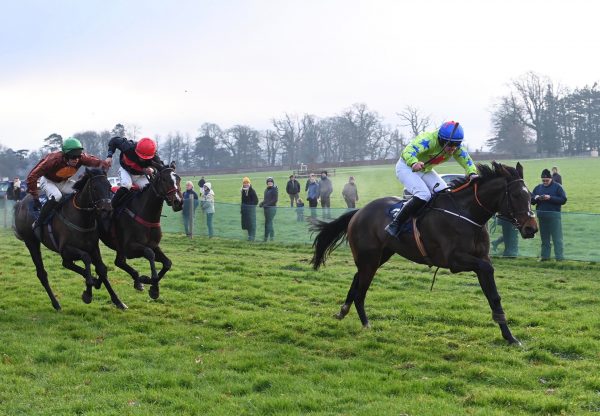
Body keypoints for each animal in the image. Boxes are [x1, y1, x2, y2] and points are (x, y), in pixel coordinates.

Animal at [14, 168, 127, 308]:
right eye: (95, 188)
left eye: (109, 186)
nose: (107, 209)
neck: (82, 218)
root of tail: (20, 203)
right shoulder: (66, 249)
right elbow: (86, 258)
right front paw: (88, 292)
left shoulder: (93, 247)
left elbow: (101, 269)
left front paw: (118, 301)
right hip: (31, 242)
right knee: (42, 273)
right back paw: (56, 303)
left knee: (67, 264)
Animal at [99, 164, 183, 300]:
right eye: (164, 179)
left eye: (179, 179)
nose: (178, 202)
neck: (145, 214)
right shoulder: (129, 248)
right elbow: (149, 254)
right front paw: (150, 282)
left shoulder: (153, 245)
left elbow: (167, 263)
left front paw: (150, 285)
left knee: (119, 262)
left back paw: (137, 281)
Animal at [314, 162, 540, 344]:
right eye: (517, 195)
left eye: (531, 197)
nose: (531, 228)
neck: (467, 213)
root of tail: (358, 212)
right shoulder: (455, 260)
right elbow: (487, 269)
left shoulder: (480, 258)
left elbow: (493, 295)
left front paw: (510, 336)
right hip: (369, 258)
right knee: (361, 289)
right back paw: (365, 323)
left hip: (379, 255)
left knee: (357, 279)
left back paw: (343, 310)